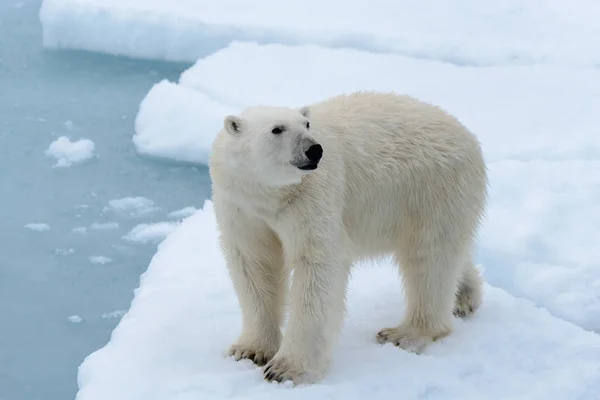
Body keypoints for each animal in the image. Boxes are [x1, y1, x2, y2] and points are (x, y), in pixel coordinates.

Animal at [210, 90, 488, 384]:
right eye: (277, 129)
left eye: (306, 125)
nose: (314, 149)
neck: (273, 197)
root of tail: (468, 135)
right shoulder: (242, 206)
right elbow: (255, 265)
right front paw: (249, 350)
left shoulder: (312, 197)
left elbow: (317, 266)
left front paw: (286, 369)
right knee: (448, 254)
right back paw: (464, 297)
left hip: (434, 187)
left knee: (429, 259)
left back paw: (406, 333)